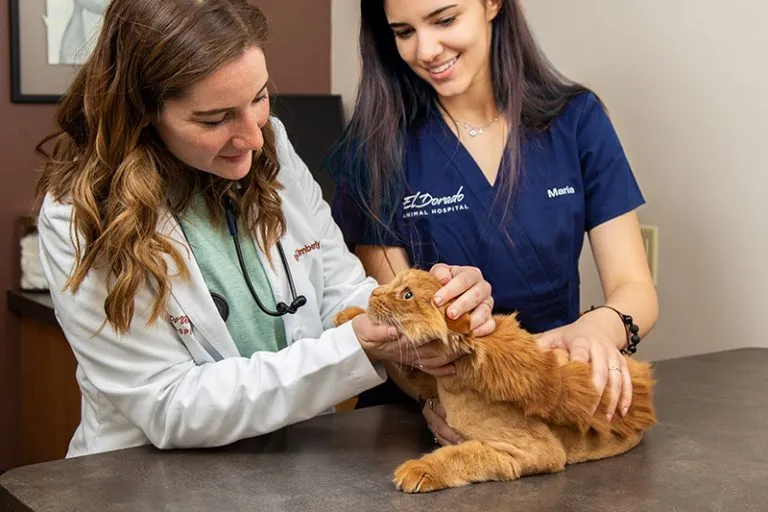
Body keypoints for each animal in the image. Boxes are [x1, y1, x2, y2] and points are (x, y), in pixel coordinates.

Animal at [334, 269, 656, 493]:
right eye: (392, 283)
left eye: (407, 295)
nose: (374, 294)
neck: (453, 382)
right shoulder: (429, 376)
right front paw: (349, 315)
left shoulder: (532, 450)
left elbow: (462, 455)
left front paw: (419, 470)